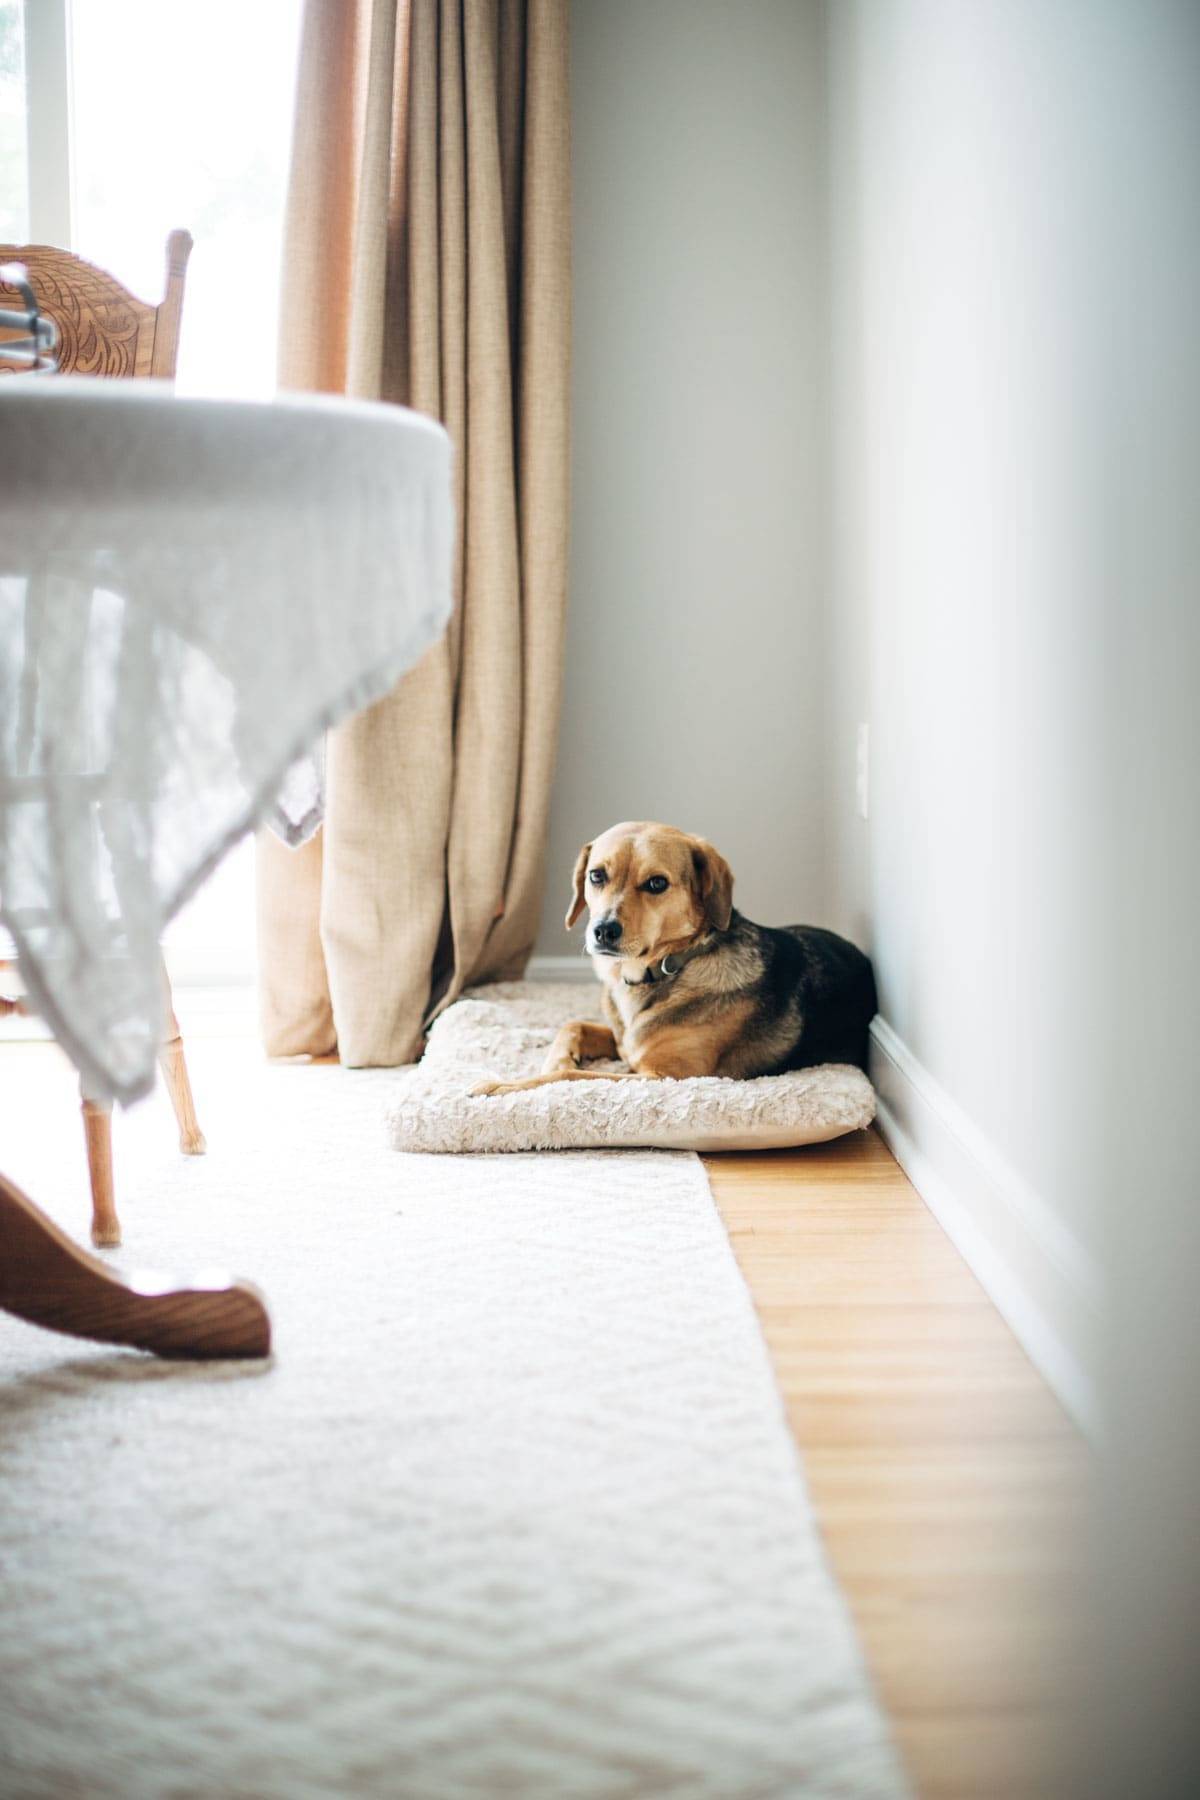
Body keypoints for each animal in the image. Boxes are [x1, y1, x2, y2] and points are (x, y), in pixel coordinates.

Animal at [474, 820, 877, 1094]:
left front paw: (500, 1087)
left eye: (657, 883)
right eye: (596, 875)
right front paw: (556, 1057)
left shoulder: (665, 1077)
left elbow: (570, 1076)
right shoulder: (624, 1041)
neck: (666, 969)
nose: (603, 930)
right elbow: (572, 1026)